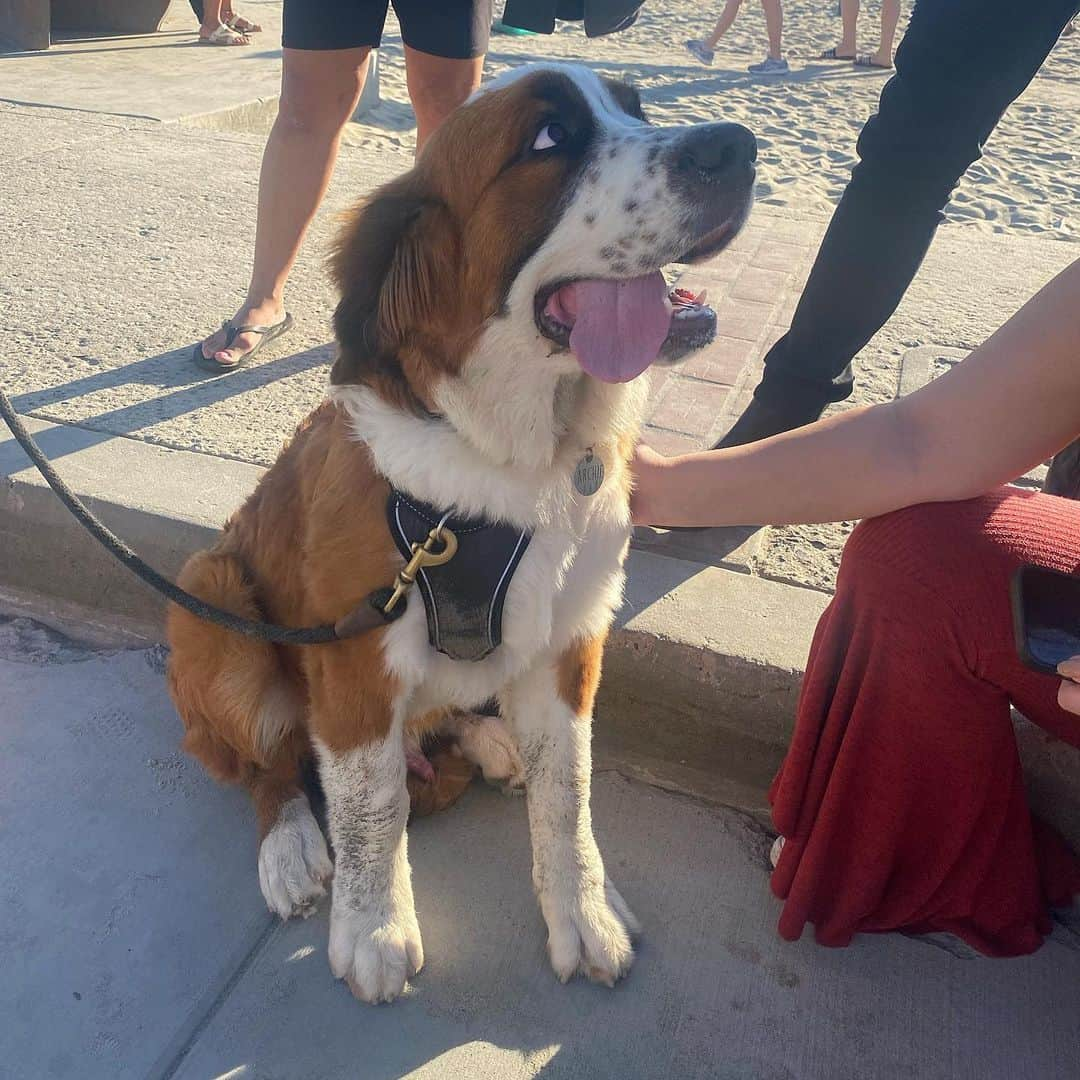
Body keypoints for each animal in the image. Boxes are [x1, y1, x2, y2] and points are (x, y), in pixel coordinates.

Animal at [170, 61, 760, 1002]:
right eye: (549, 139)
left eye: (634, 107)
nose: (737, 147)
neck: (519, 459)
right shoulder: (355, 664)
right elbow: (373, 809)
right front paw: (374, 928)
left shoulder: (570, 643)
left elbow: (568, 795)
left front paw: (581, 913)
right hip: (209, 596)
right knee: (271, 764)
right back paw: (290, 846)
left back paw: (487, 738)